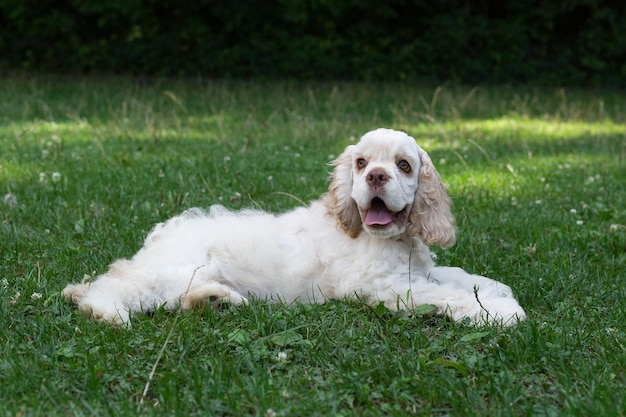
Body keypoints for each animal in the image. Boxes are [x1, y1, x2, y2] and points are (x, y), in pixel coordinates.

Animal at [63, 128, 524, 324]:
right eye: (361, 163)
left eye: (404, 165)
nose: (376, 176)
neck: (391, 240)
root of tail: (159, 238)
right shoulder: (382, 286)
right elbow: (448, 295)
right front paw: (502, 312)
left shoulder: (417, 271)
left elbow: (457, 276)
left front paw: (496, 288)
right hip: (176, 267)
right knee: (118, 284)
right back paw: (104, 312)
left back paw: (215, 301)